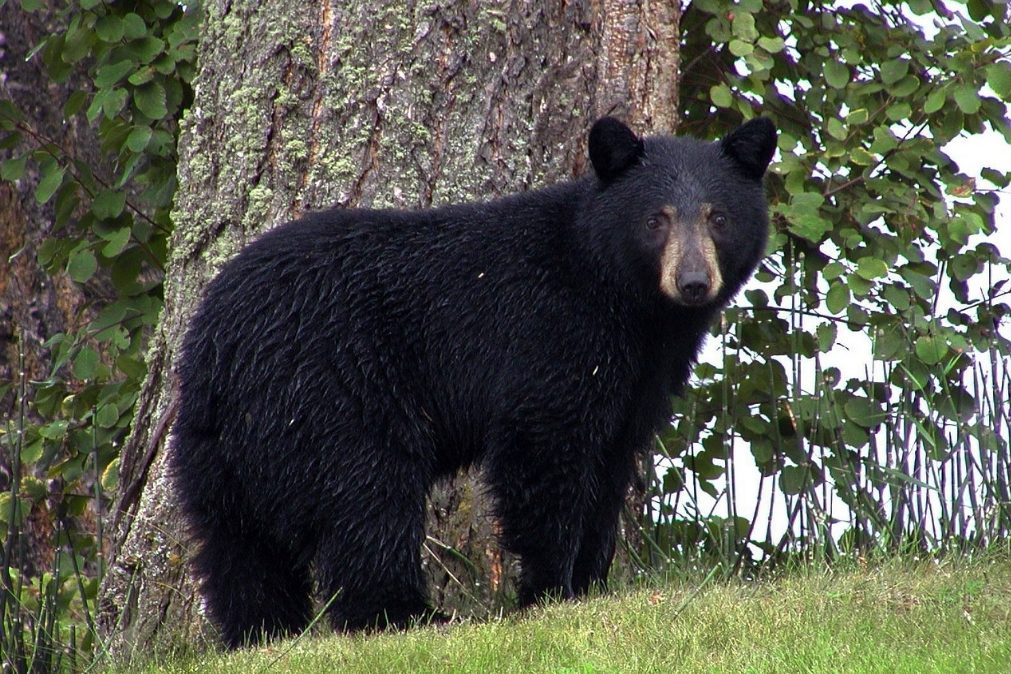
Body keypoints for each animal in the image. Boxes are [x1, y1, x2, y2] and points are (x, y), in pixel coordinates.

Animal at [169, 114, 776, 646]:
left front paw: (591, 584)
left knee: (238, 545)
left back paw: (261, 631)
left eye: (719, 217)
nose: (693, 281)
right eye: (657, 219)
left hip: (218, 445)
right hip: (331, 392)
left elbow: (609, 465)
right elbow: (544, 451)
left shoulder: (638, 378)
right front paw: (549, 592)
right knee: (367, 498)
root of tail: (218, 344)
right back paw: (407, 615)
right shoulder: (553, 336)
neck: (625, 302)